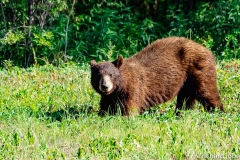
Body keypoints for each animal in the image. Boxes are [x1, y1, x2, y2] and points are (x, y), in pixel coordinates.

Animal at [89, 37, 223, 115]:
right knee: (185, 98)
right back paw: (181, 113)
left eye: (111, 74)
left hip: (198, 68)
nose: (105, 86)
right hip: (186, 79)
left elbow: (129, 109)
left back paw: (218, 112)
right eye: (98, 75)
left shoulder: (134, 89)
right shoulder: (109, 96)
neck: (121, 86)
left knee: (207, 91)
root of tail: (207, 49)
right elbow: (105, 107)